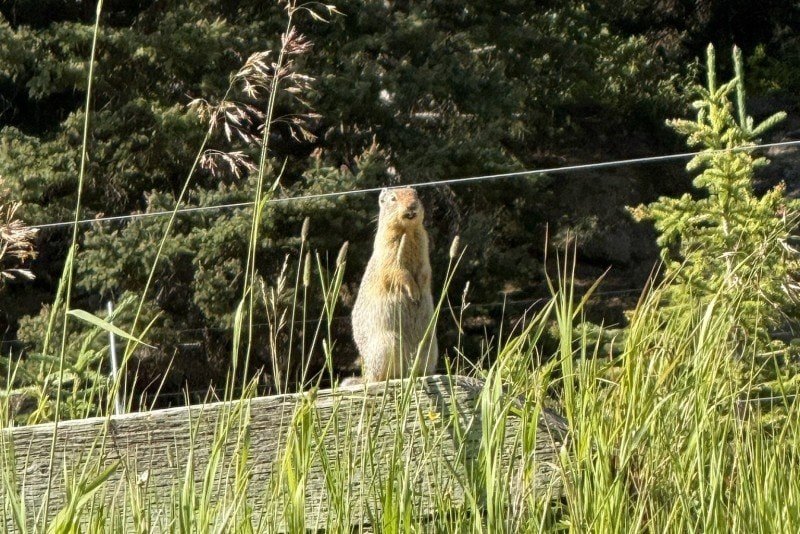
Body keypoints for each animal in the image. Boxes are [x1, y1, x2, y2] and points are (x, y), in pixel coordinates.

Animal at [346, 187, 438, 385]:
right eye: (393, 198)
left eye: (416, 194)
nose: (411, 206)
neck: (407, 230)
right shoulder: (387, 247)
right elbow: (397, 270)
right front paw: (414, 292)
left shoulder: (423, 245)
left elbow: (425, 270)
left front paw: (420, 289)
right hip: (387, 344)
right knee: (379, 377)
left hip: (431, 346)